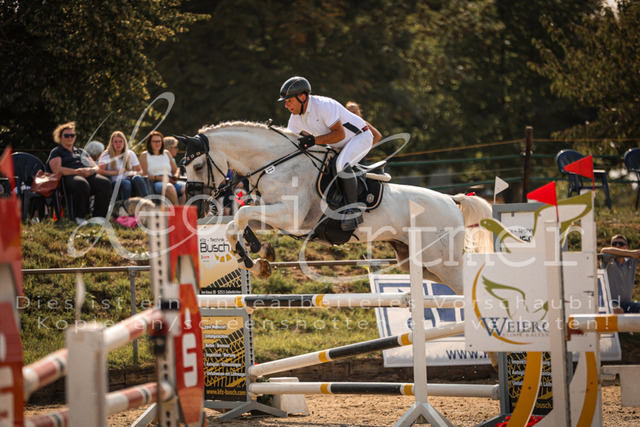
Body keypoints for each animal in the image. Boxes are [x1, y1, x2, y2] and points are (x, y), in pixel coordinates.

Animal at [178, 121, 493, 295]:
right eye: (184, 165)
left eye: (198, 165)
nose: (198, 207)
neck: (275, 163)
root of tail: (451, 201)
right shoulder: (271, 212)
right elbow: (237, 224)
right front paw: (258, 258)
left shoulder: (290, 217)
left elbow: (242, 214)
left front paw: (254, 256)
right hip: (419, 262)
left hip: (443, 262)